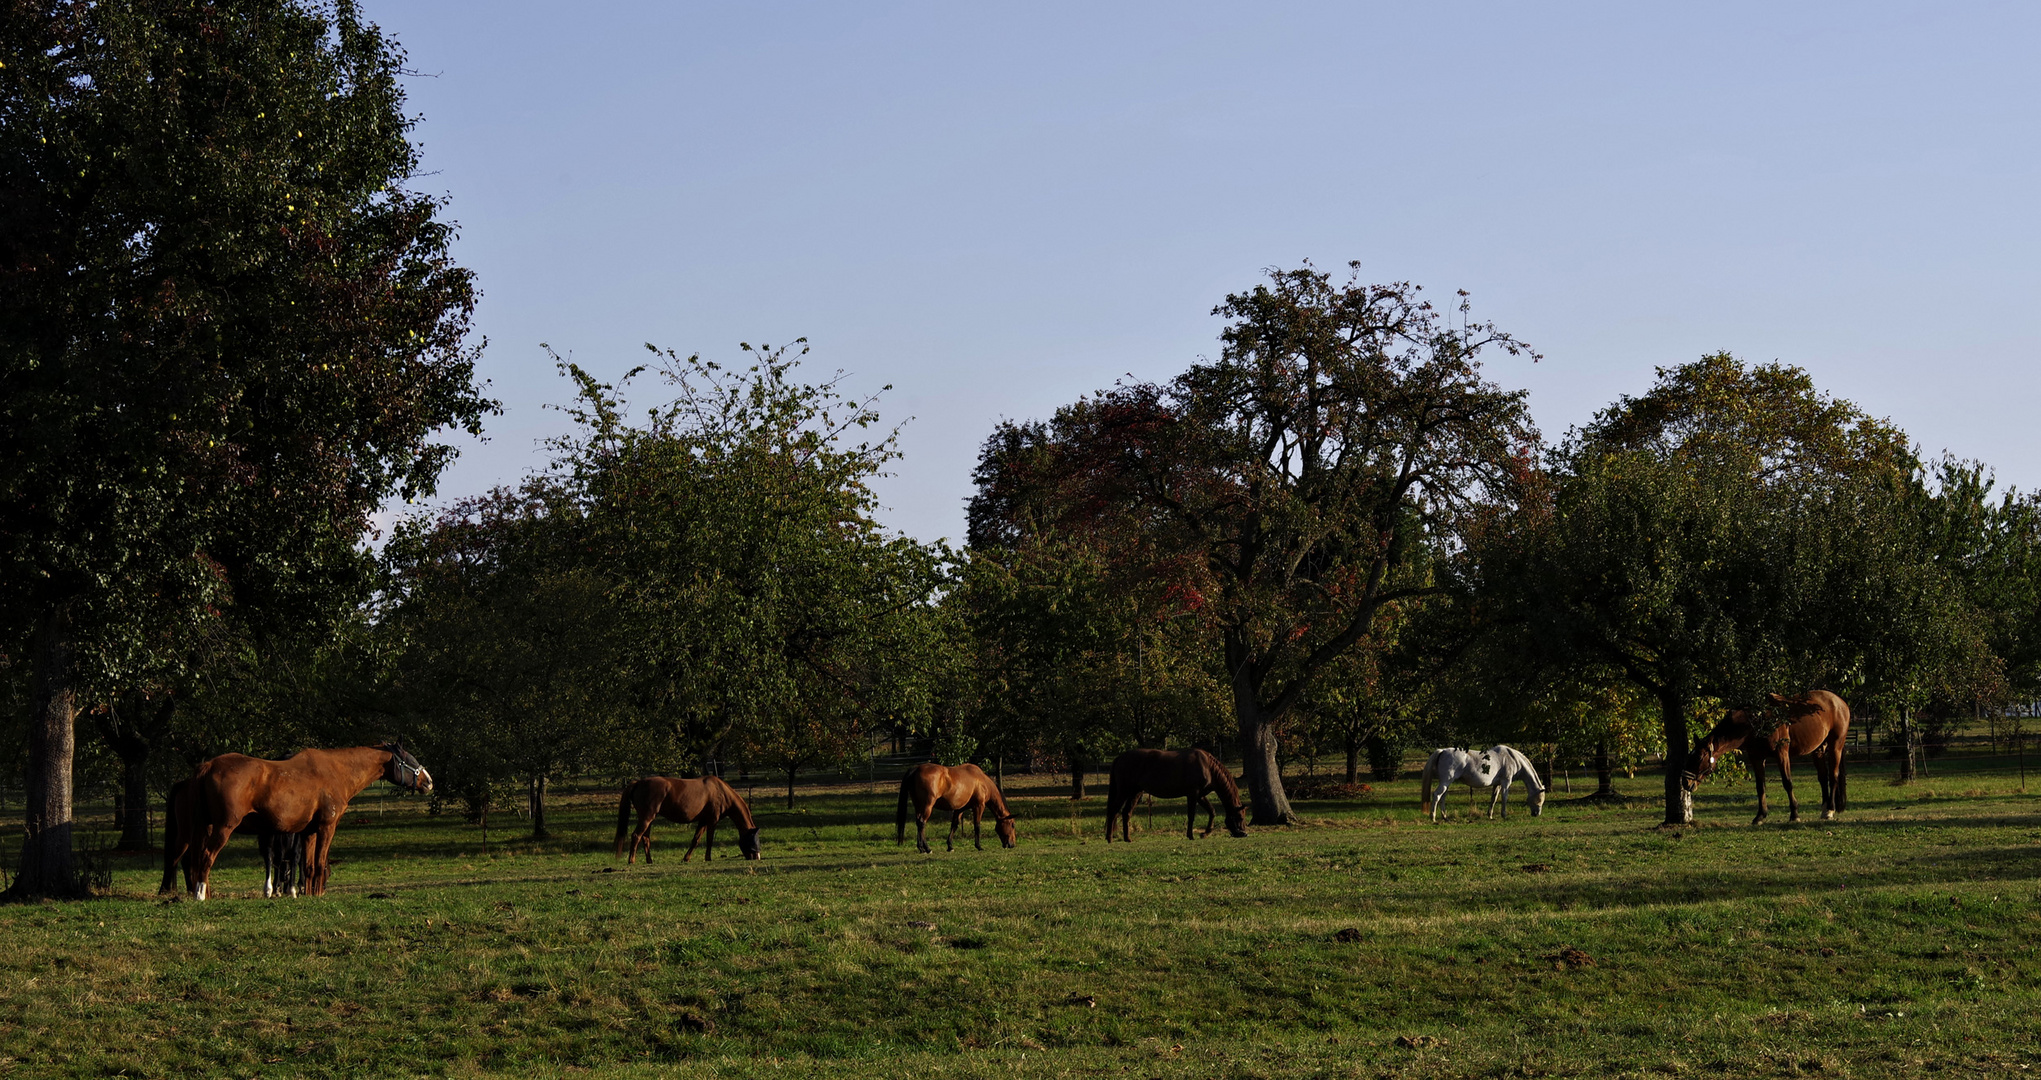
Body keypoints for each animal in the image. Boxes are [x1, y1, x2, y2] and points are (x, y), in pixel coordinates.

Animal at [168, 734, 434, 898]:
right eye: (408, 759)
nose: (428, 782)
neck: (335, 771)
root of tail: (208, 766)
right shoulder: (326, 827)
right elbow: (319, 863)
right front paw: (316, 893)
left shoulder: (307, 832)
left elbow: (307, 865)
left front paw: (306, 893)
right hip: (223, 827)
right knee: (205, 858)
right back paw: (200, 895)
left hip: (203, 827)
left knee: (196, 860)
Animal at [612, 771, 767, 861]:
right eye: (753, 842)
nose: (757, 857)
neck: (721, 792)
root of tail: (638, 782)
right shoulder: (712, 820)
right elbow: (709, 839)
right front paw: (708, 858)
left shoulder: (703, 821)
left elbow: (695, 840)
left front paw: (686, 858)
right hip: (646, 817)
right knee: (636, 836)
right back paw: (631, 860)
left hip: (648, 819)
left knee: (645, 838)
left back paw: (649, 861)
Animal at [1110, 751, 1249, 841]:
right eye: (1240, 817)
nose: (1244, 833)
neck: (1208, 767)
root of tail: (1120, 757)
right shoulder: (1193, 794)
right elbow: (1191, 815)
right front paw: (1191, 835)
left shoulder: (1200, 795)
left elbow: (1212, 811)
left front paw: (1205, 833)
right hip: (1124, 791)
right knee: (1114, 810)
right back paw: (1109, 838)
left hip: (1135, 793)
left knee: (1126, 812)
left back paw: (1127, 838)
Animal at [1681, 690, 1861, 824]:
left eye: (1698, 758)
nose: (1685, 782)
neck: (1755, 721)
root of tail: (1839, 702)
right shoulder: (1756, 758)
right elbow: (1760, 787)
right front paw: (1760, 816)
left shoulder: (1782, 754)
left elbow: (1787, 783)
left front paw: (1794, 814)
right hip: (1818, 749)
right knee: (1823, 778)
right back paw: (1824, 809)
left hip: (1835, 745)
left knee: (1833, 776)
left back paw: (1830, 809)